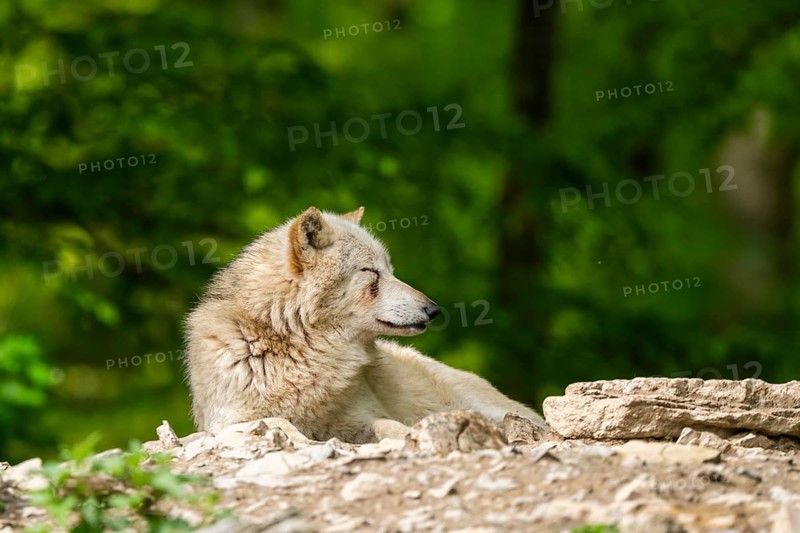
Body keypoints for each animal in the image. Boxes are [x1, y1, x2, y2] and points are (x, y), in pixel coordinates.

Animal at [184, 206, 547, 442]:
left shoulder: (363, 417)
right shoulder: (230, 423)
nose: (433, 310)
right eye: (372, 273)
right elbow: (279, 425)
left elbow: (391, 427)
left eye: (391, 271)